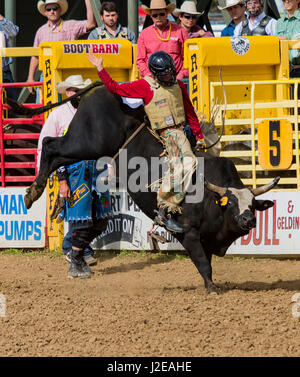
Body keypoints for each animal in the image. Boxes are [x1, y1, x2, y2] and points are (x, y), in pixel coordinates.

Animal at [8, 86, 278, 294]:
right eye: (230, 203)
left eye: (253, 205)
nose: (249, 220)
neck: (210, 198)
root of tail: (102, 89)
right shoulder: (190, 233)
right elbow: (203, 263)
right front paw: (212, 289)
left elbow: (207, 262)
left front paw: (209, 285)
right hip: (87, 142)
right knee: (49, 144)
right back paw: (33, 192)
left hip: (87, 147)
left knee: (55, 155)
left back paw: (34, 191)